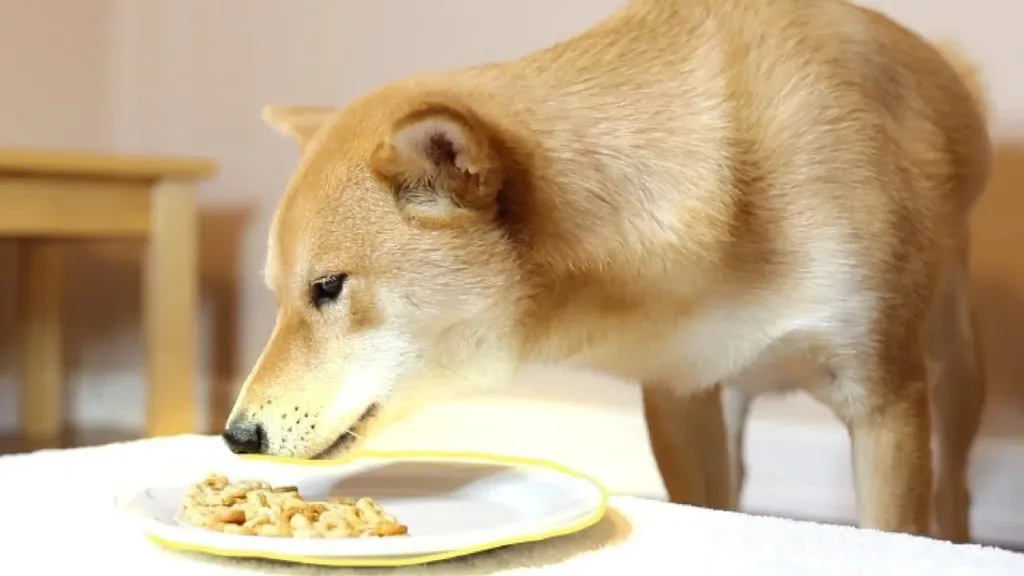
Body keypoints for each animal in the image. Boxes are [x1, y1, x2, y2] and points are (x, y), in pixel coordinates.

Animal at [226, 0, 991, 541]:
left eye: (328, 289)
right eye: (278, 298)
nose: (236, 437)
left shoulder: (883, 399)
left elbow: (896, 528)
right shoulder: (682, 395)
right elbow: (705, 503)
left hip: (951, 367)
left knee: (954, 484)